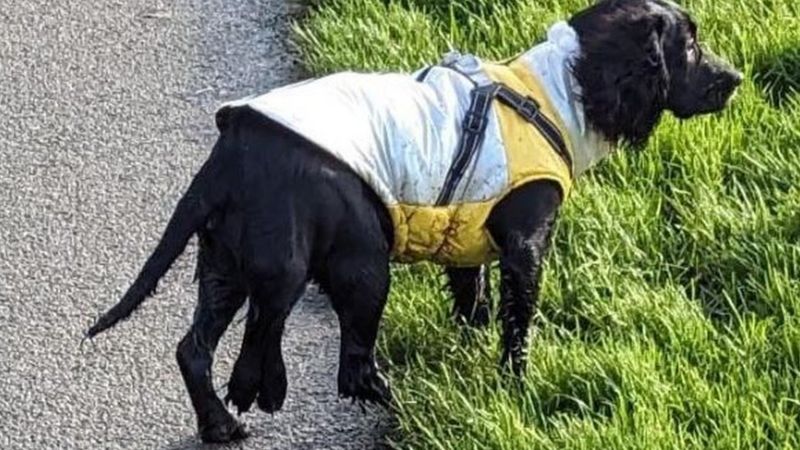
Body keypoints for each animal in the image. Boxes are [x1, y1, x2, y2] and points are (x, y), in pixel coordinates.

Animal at [84, 0, 740, 442]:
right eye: (688, 46)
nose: (735, 80)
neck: (558, 93)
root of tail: (231, 153)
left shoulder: (470, 244)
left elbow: (473, 305)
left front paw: (467, 354)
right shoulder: (526, 246)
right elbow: (517, 327)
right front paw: (514, 386)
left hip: (225, 264)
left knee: (194, 349)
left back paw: (222, 424)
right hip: (342, 262)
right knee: (320, 360)